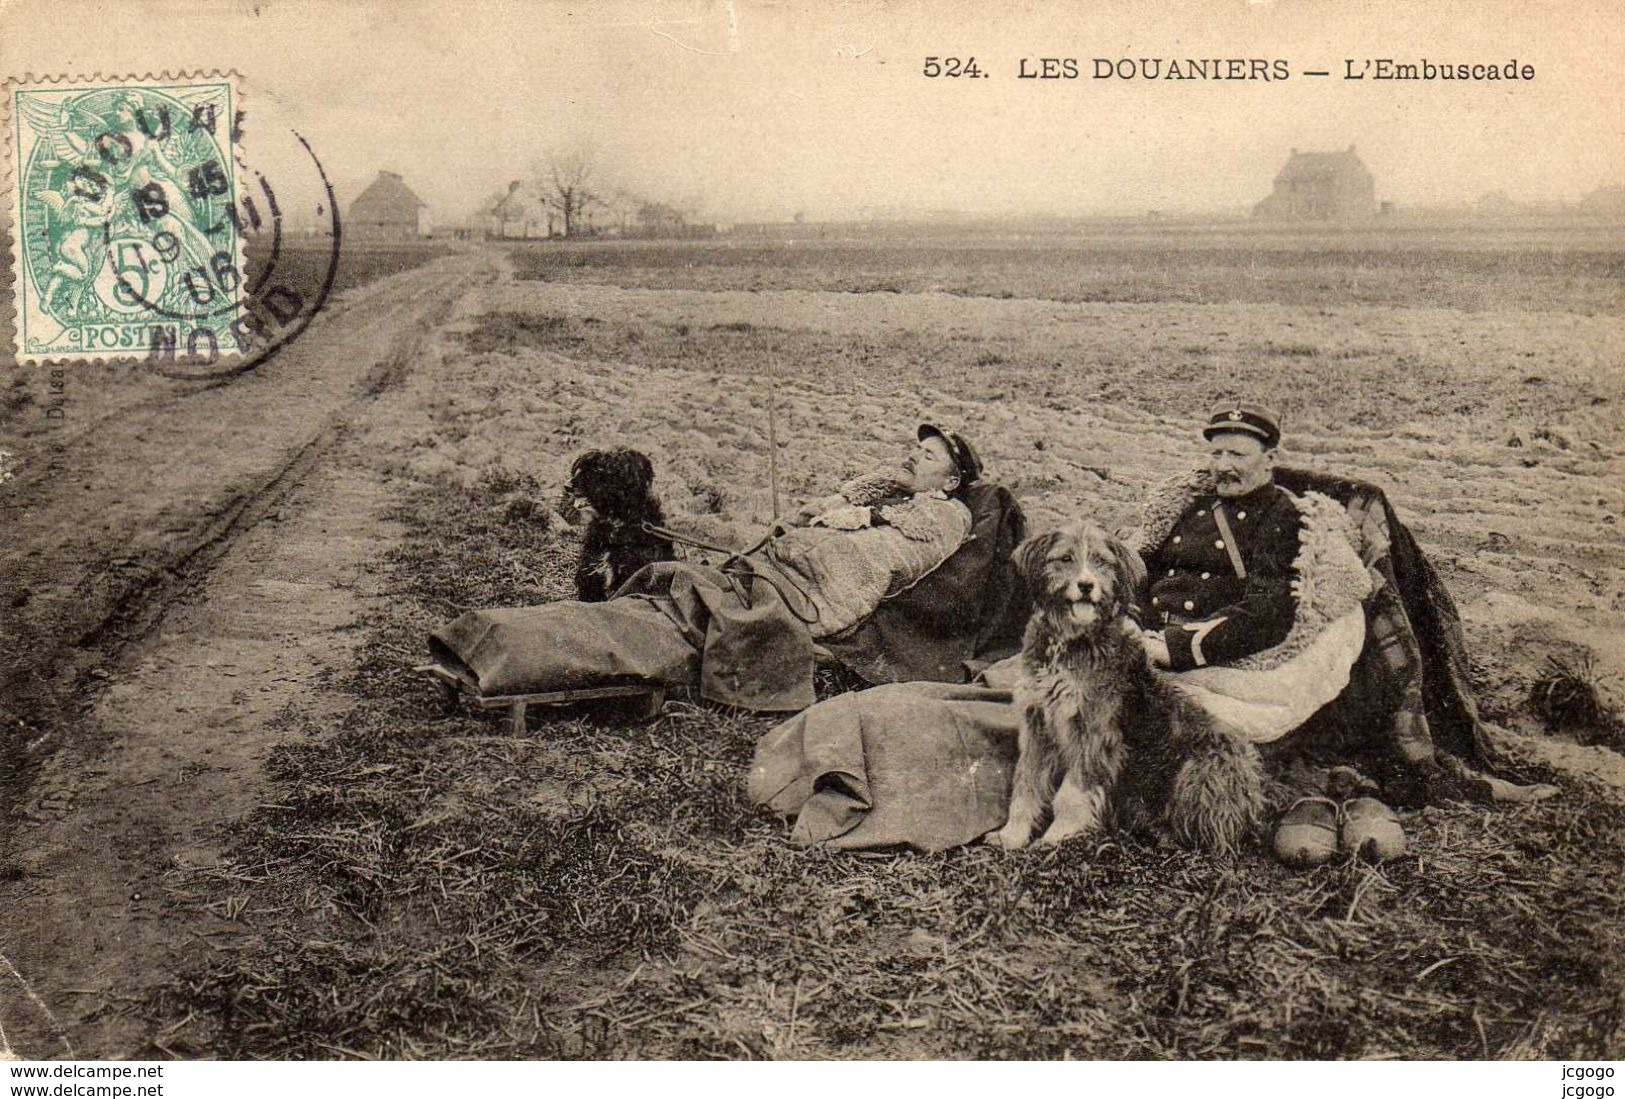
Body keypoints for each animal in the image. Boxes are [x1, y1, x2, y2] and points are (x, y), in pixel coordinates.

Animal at [981, 520, 1261, 851]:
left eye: (1101, 561)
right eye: (1065, 559)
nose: (1086, 585)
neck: (1071, 642)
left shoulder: (1094, 731)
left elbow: (1072, 793)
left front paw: (1059, 835)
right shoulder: (1037, 724)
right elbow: (1026, 785)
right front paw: (1012, 834)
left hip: (1203, 767)